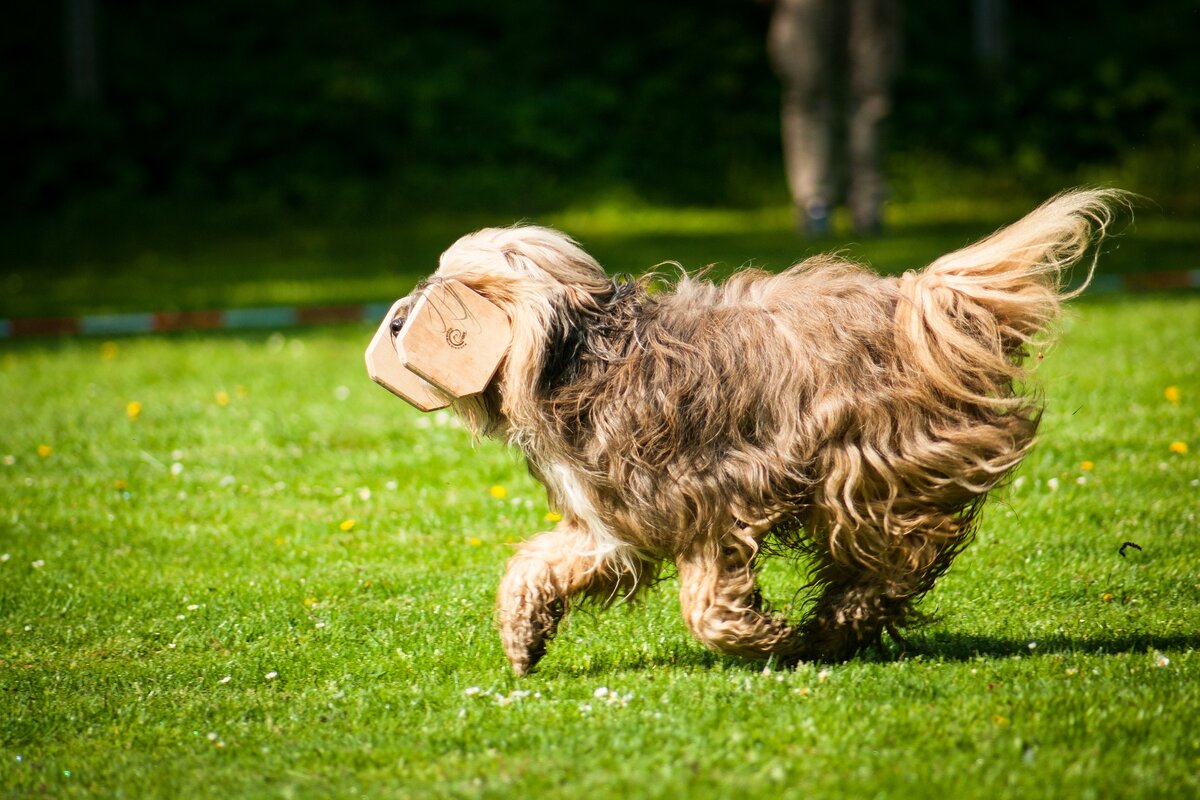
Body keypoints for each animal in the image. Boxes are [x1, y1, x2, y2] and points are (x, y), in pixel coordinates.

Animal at [379, 189, 1118, 676]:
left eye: (455, 285)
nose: (395, 324)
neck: (581, 358)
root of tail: (917, 300)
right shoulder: (614, 519)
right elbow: (539, 564)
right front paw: (521, 638)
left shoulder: (716, 493)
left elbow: (705, 601)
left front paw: (761, 638)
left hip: (866, 465)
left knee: (898, 556)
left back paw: (834, 626)